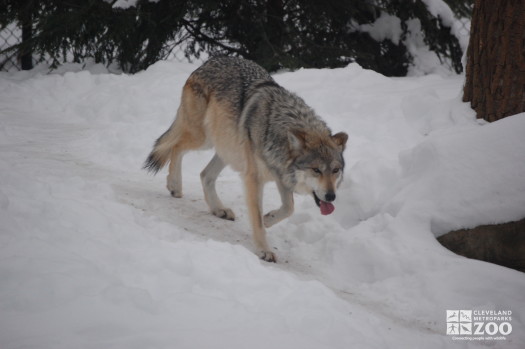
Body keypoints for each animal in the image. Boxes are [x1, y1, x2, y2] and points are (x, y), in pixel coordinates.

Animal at [144, 56, 348, 260]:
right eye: (316, 170)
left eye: (335, 170)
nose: (331, 196)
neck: (277, 129)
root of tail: (210, 61)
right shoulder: (254, 178)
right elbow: (257, 218)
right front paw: (264, 249)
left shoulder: (280, 175)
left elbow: (289, 207)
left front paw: (268, 219)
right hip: (203, 138)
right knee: (176, 147)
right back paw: (175, 186)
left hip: (226, 149)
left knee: (204, 174)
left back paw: (218, 209)